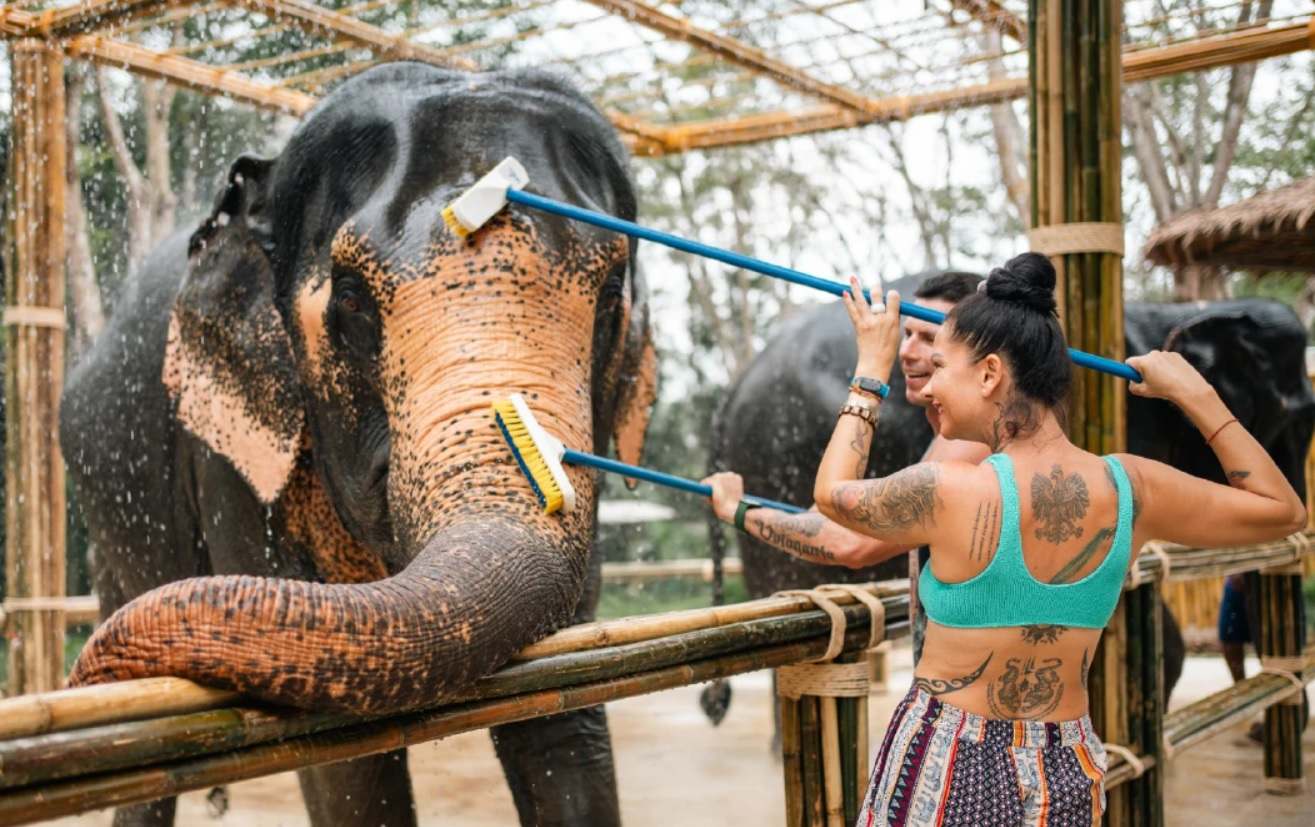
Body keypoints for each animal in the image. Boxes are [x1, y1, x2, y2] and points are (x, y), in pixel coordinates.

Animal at [60, 64, 657, 827]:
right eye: (349, 301)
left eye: (610, 297)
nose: (81, 675)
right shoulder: (229, 462)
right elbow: (348, 765)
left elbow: (563, 704)